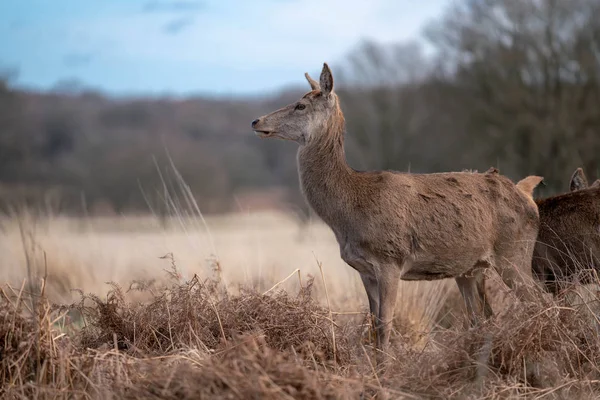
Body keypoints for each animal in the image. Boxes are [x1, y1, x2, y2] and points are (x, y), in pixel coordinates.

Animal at [251, 63, 548, 356]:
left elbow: (385, 325)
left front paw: (385, 367)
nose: (256, 121)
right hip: (471, 269)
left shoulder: (390, 260)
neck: (348, 213)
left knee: (539, 300)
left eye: (300, 105)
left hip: (514, 253)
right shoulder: (364, 270)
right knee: (483, 317)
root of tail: (526, 194)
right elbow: (372, 325)